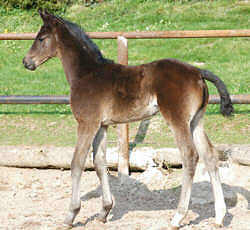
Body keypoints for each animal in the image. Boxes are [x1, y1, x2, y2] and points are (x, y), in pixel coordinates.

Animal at [22, 10, 233, 228]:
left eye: (41, 38)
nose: (26, 62)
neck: (87, 74)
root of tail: (198, 72)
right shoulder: (102, 126)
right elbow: (100, 163)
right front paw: (104, 211)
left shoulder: (87, 124)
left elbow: (77, 163)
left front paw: (71, 215)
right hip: (196, 122)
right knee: (210, 155)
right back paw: (219, 216)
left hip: (178, 120)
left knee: (190, 156)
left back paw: (178, 217)